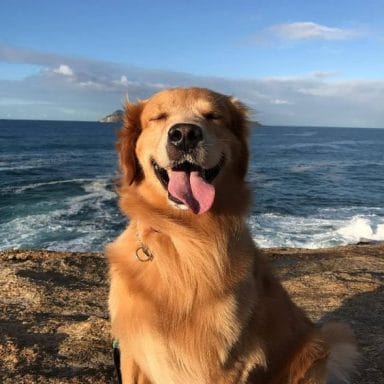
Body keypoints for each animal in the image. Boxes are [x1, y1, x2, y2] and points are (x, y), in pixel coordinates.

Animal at [105, 88, 356, 384]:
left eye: (213, 116)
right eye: (159, 116)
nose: (185, 134)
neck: (185, 238)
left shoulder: (222, 362)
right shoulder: (132, 351)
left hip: (312, 354)